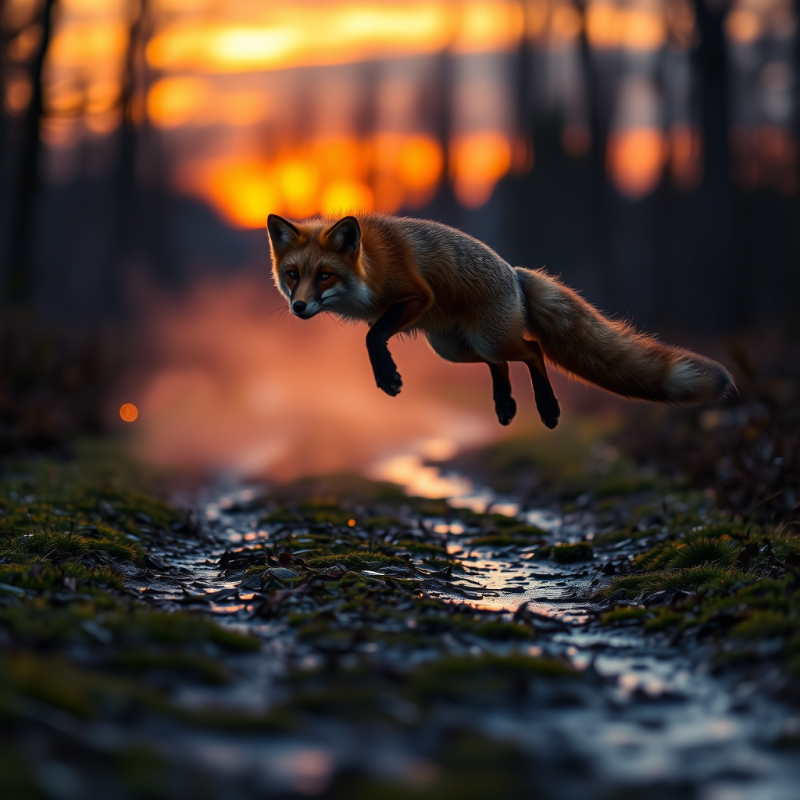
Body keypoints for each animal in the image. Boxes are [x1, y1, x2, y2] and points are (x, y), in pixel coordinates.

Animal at [267, 212, 734, 428]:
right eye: (292, 275)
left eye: (324, 275)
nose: (299, 307)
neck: (371, 265)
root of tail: (515, 272)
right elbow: (373, 333)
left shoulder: (416, 296)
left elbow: (372, 335)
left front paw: (387, 377)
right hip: (453, 349)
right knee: (503, 363)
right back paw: (506, 404)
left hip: (482, 339)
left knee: (533, 350)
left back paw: (547, 408)